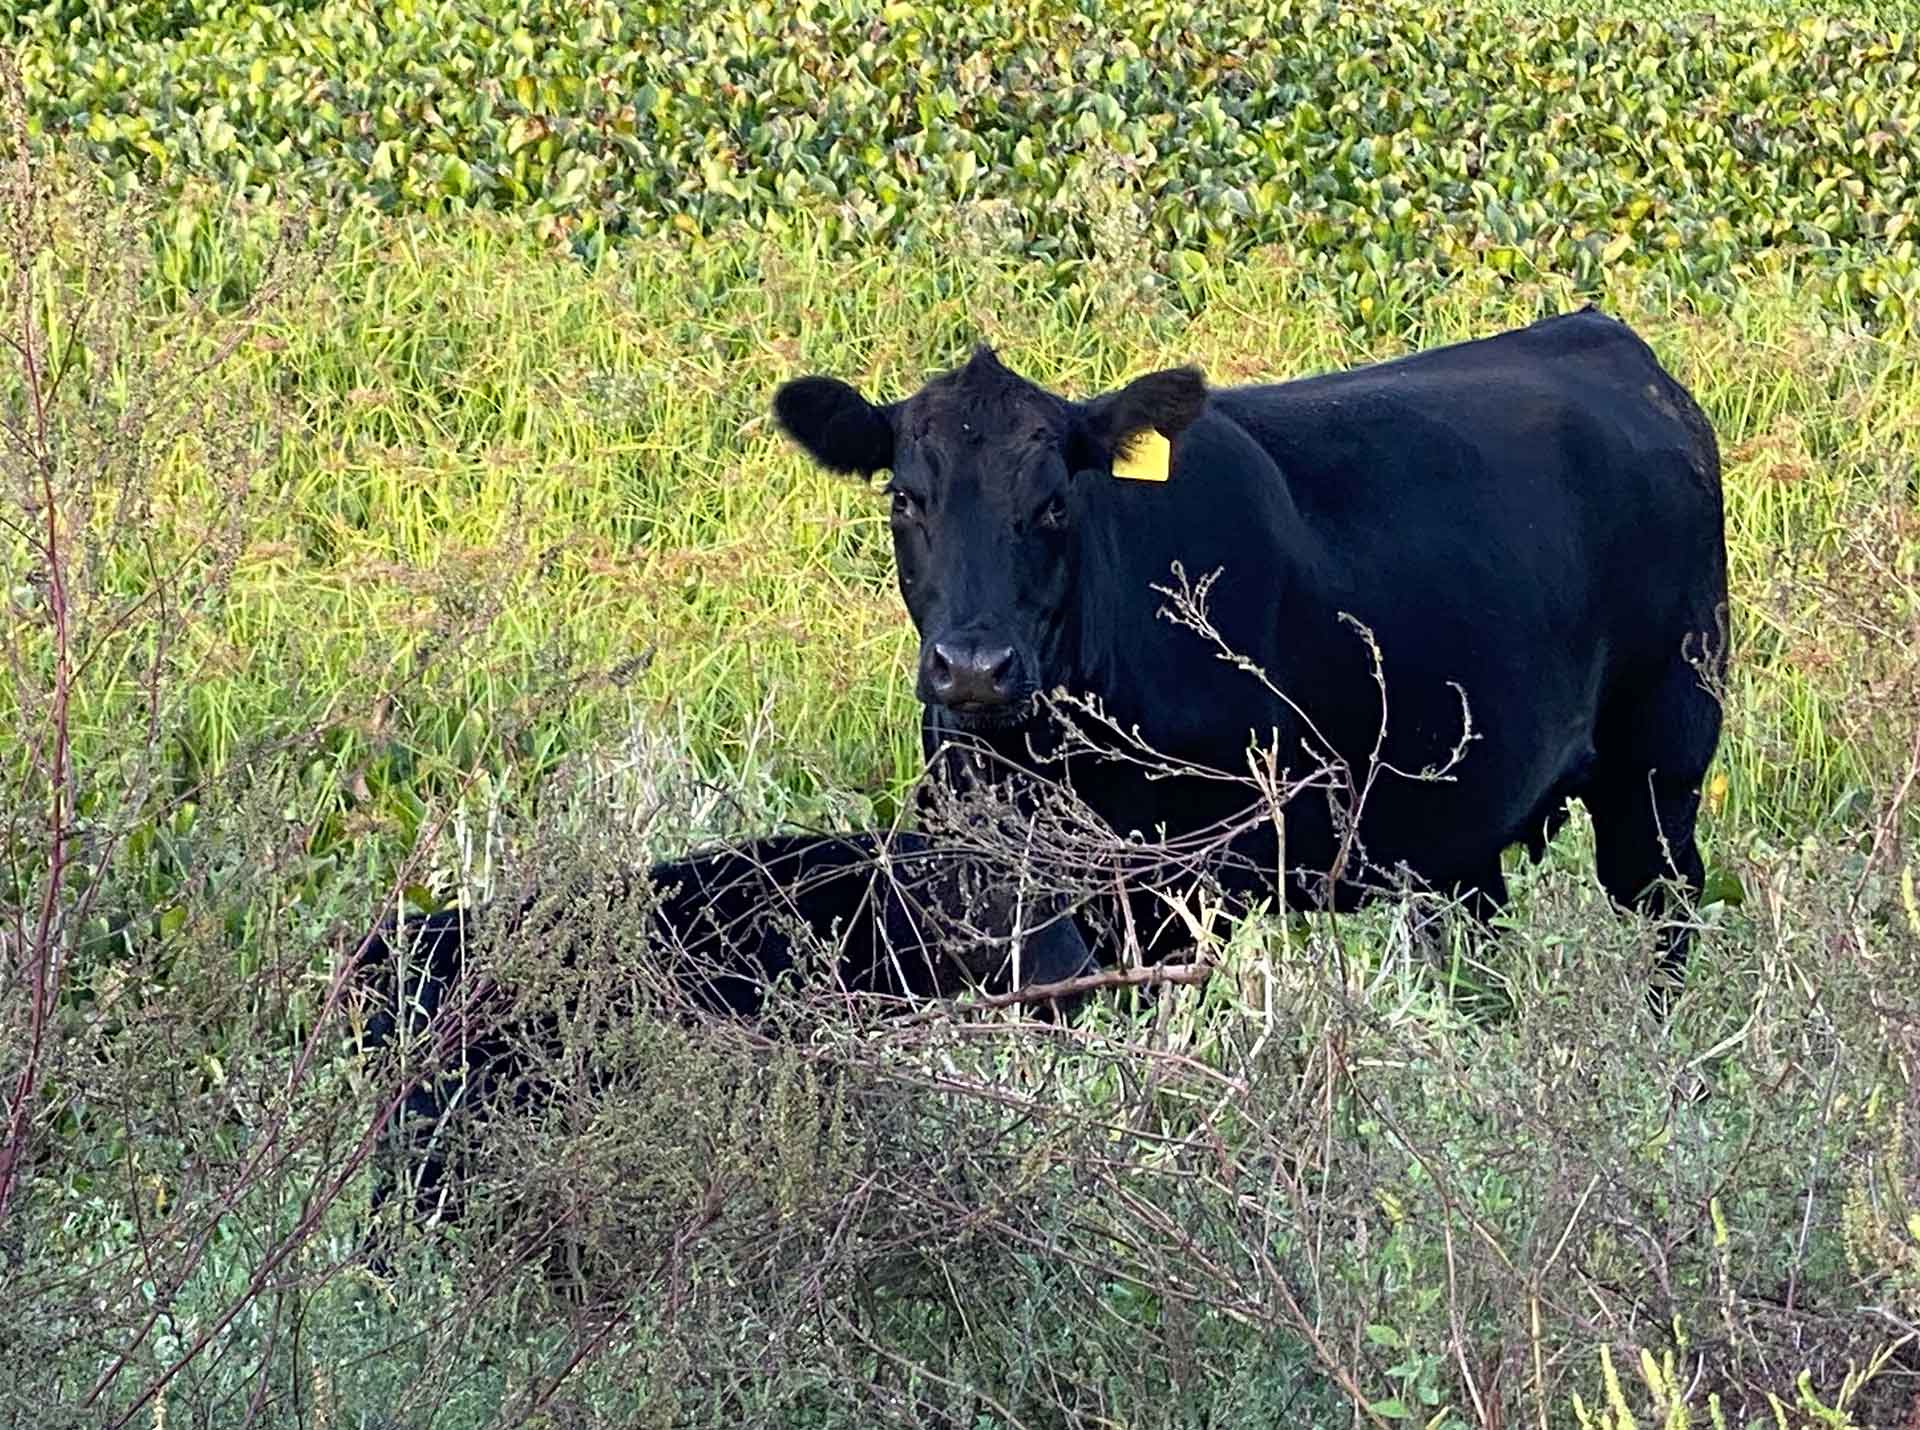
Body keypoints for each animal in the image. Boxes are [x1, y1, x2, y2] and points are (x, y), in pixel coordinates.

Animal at [772, 308, 1727, 983]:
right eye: (904, 498)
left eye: (1054, 504)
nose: (974, 667)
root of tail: (1606, 342)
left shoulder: (1180, 875)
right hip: (1465, 820)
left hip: (1663, 757)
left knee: (1663, 908)